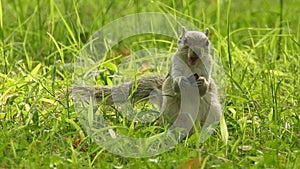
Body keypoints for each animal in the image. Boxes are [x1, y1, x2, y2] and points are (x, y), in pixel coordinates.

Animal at [73, 26, 223, 137]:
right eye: (184, 41)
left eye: (207, 42)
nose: (196, 52)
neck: (191, 66)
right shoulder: (175, 65)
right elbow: (176, 81)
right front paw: (181, 82)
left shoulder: (207, 67)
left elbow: (206, 85)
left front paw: (203, 83)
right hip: (170, 111)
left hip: (212, 111)